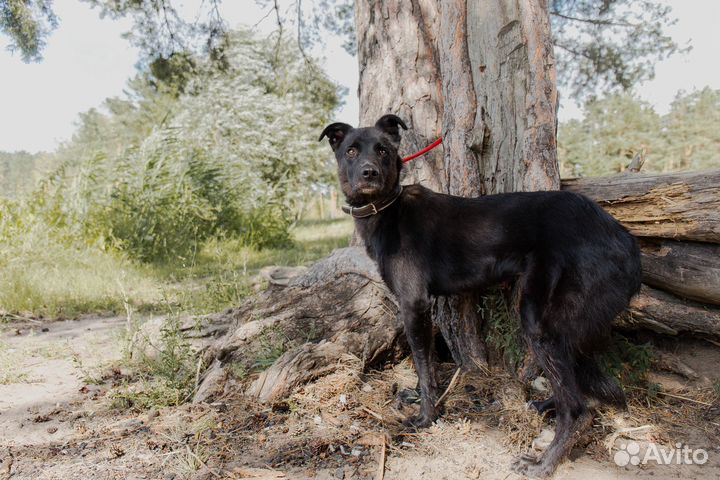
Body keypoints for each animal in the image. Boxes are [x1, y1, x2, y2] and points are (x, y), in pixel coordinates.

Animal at [320, 114, 640, 478]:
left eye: (383, 150)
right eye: (351, 150)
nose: (369, 173)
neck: (388, 208)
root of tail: (625, 239)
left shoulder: (414, 304)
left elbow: (424, 368)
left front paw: (426, 418)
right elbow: (424, 367)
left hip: (540, 321)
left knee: (577, 408)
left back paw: (544, 463)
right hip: (568, 327)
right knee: (577, 384)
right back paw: (547, 407)